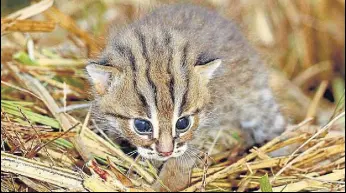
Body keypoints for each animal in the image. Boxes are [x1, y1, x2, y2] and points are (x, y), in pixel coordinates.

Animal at [87, 3, 286, 191]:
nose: (166, 152)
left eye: (183, 123)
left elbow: (182, 159)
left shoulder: (201, 129)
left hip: (255, 98)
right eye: (142, 126)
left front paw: (165, 185)